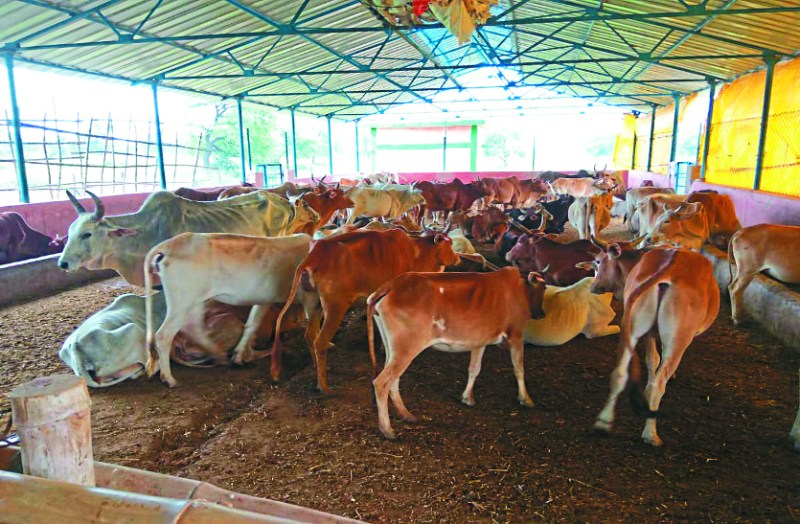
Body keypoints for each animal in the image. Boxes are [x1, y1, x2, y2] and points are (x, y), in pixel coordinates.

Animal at [143, 233, 317, 387]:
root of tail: (173, 243)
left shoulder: (264, 300)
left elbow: (251, 324)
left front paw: (238, 356)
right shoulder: (309, 296)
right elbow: (312, 322)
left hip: (196, 303)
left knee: (194, 328)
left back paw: (220, 356)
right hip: (181, 303)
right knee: (164, 335)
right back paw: (169, 379)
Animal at [271, 228, 461, 393]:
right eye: (450, 243)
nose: (458, 258)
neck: (416, 253)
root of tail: (315, 252)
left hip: (313, 304)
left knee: (310, 335)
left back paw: (317, 368)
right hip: (335, 306)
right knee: (320, 342)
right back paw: (324, 387)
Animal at [366, 267, 547, 439]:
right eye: (544, 288)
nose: (542, 314)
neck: (519, 286)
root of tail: (392, 284)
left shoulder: (479, 341)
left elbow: (474, 369)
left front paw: (467, 398)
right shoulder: (517, 333)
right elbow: (519, 368)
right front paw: (526, 399)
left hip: (393, 347)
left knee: (393, 379)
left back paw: (406, 414)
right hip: (407, 347)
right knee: (382, 382)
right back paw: (387, 430)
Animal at [588, 240, 720, 446]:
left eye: (598, 261)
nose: (593, 286)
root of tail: (669, 270)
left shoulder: (648, 333)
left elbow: (652, 360)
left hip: (630, 329)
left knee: (619, 373)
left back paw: (603, 423)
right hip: (678, 339)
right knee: (659, 383)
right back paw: (651, 434)